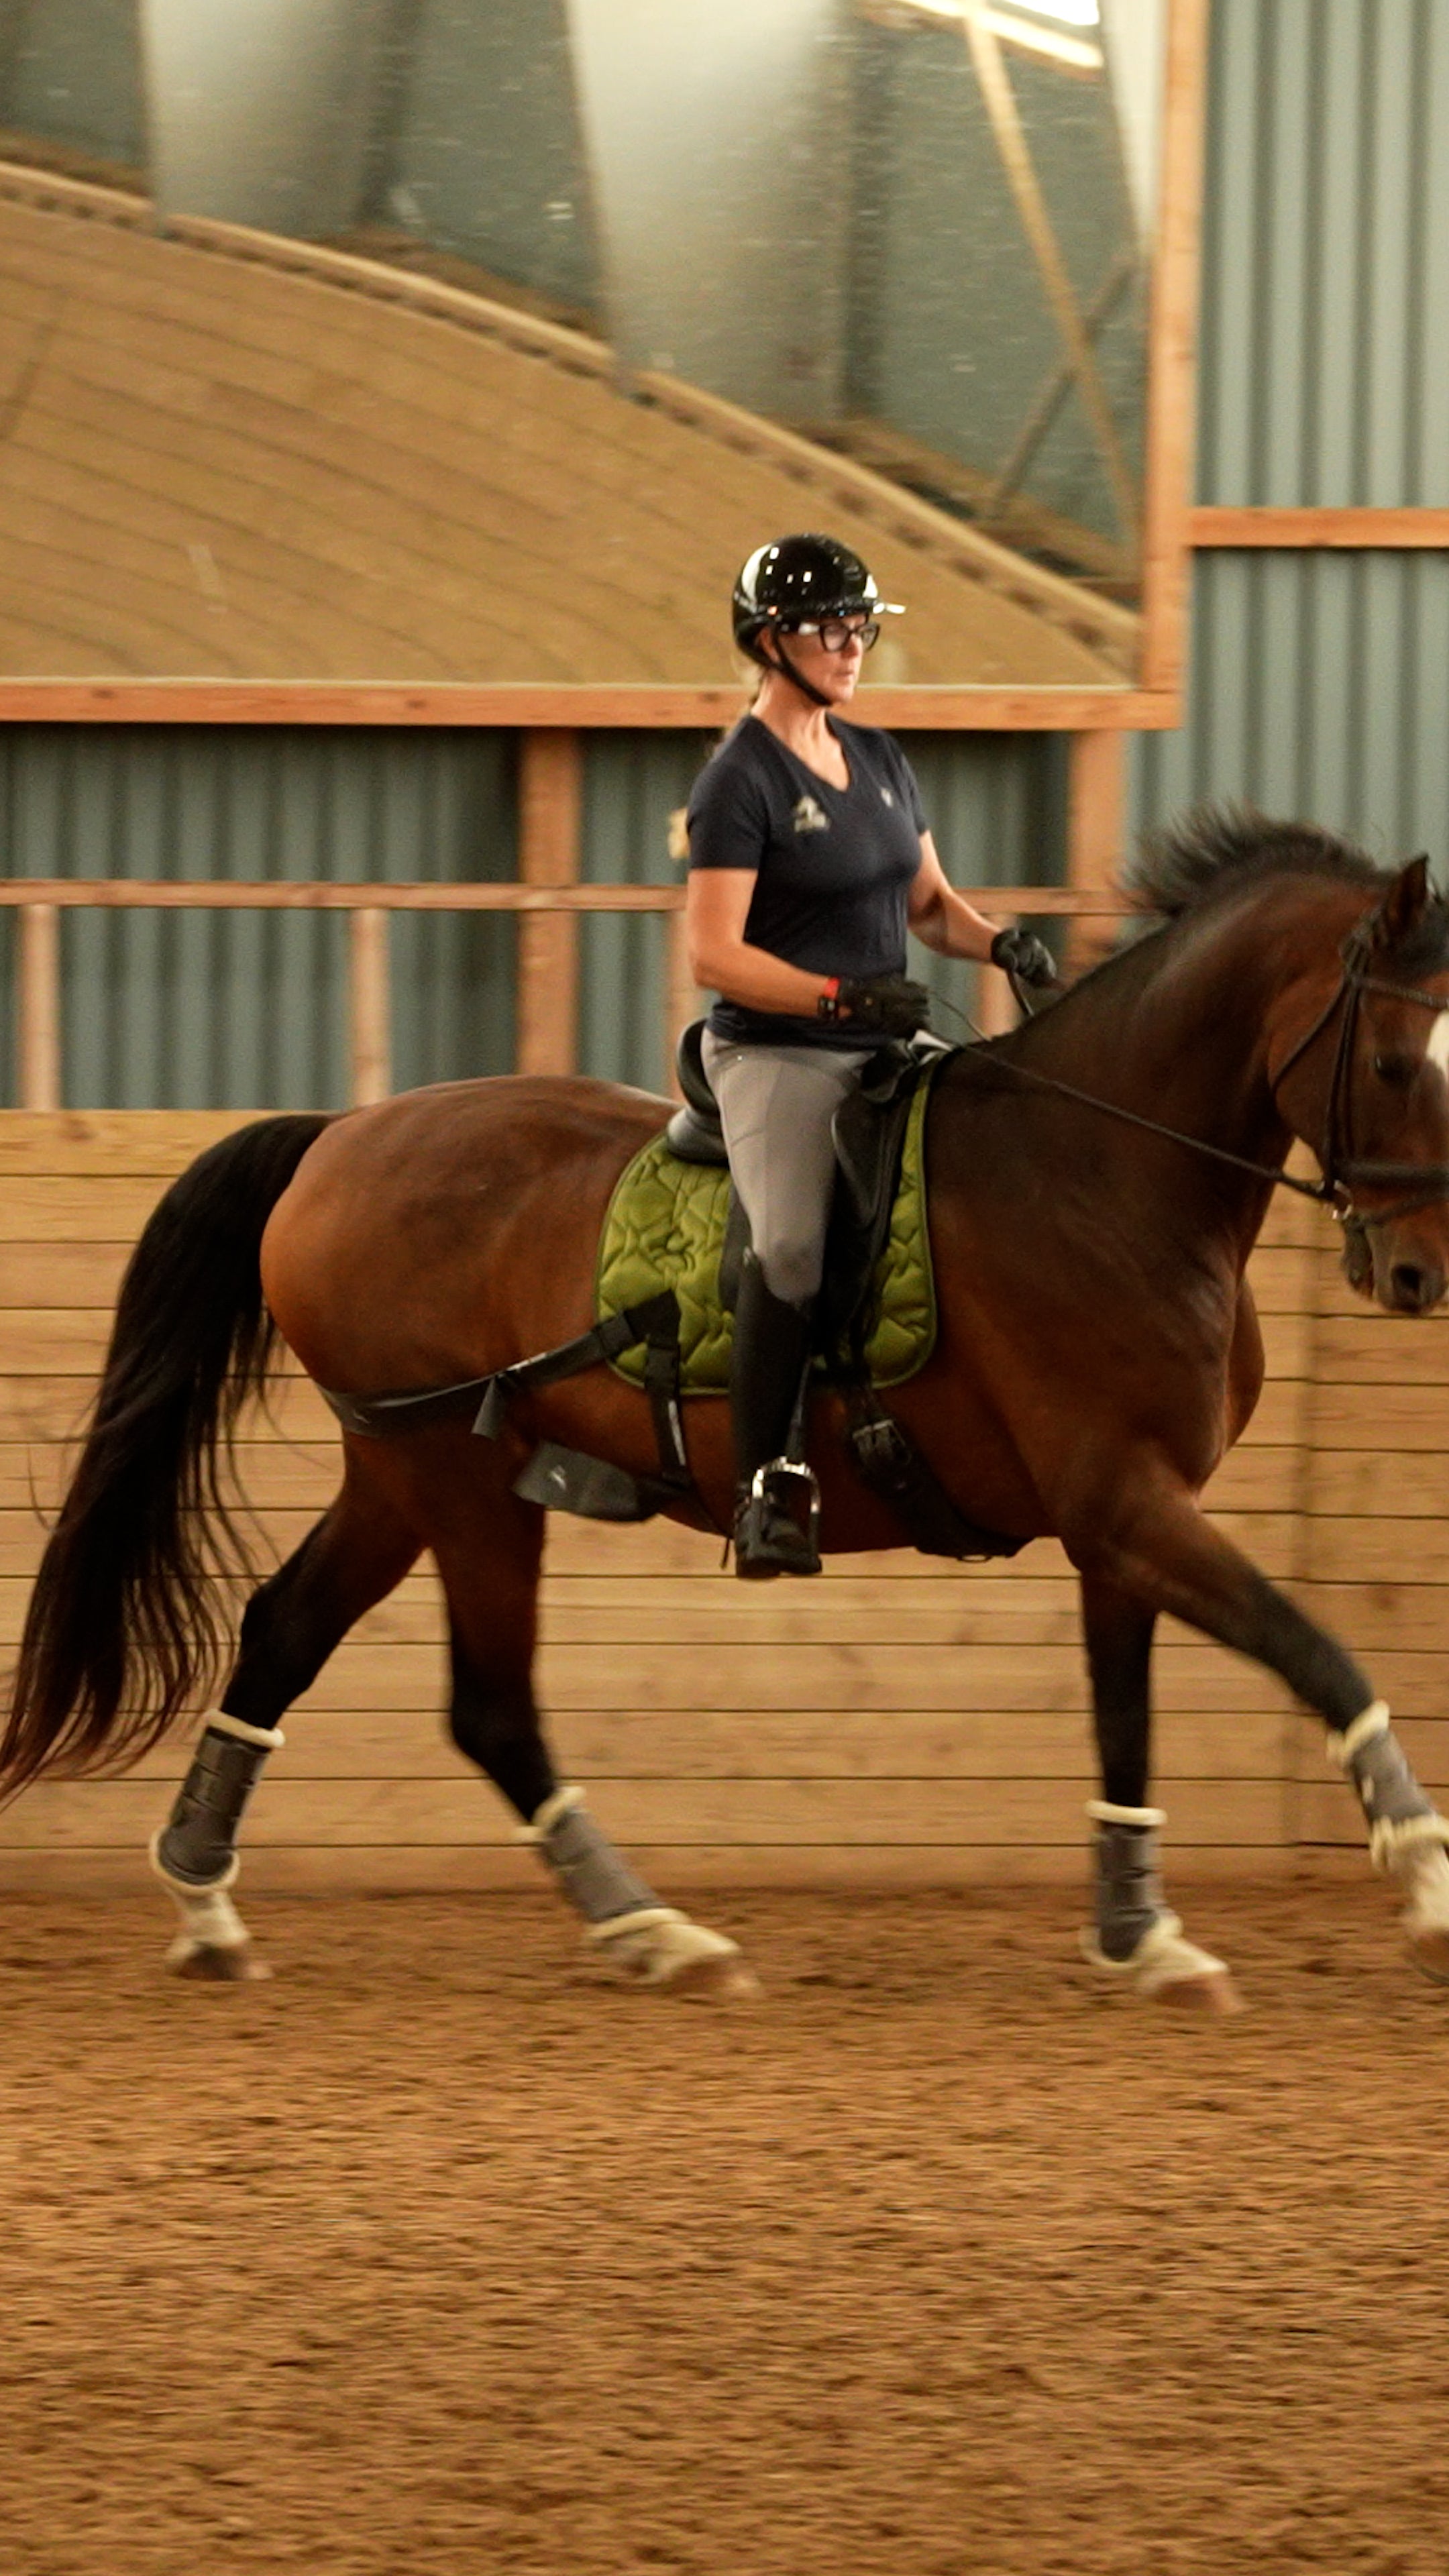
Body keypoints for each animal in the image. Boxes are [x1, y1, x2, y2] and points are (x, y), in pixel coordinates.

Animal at [4, 810, 1449, 2011]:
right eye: (1393, 1059)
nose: (1419, 1274)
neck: (1107, 1173)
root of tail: (340, 1137)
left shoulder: (1121, 1523)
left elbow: (1128, 1722)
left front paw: (1140, 1937)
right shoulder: (1127, 1503)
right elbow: (1320, 1653)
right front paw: (1427, 1882)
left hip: (399, 1472)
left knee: (287, 1631)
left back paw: (207, 1902)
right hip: (459, 1481)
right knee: (491, 1706)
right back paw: (654, 1932)